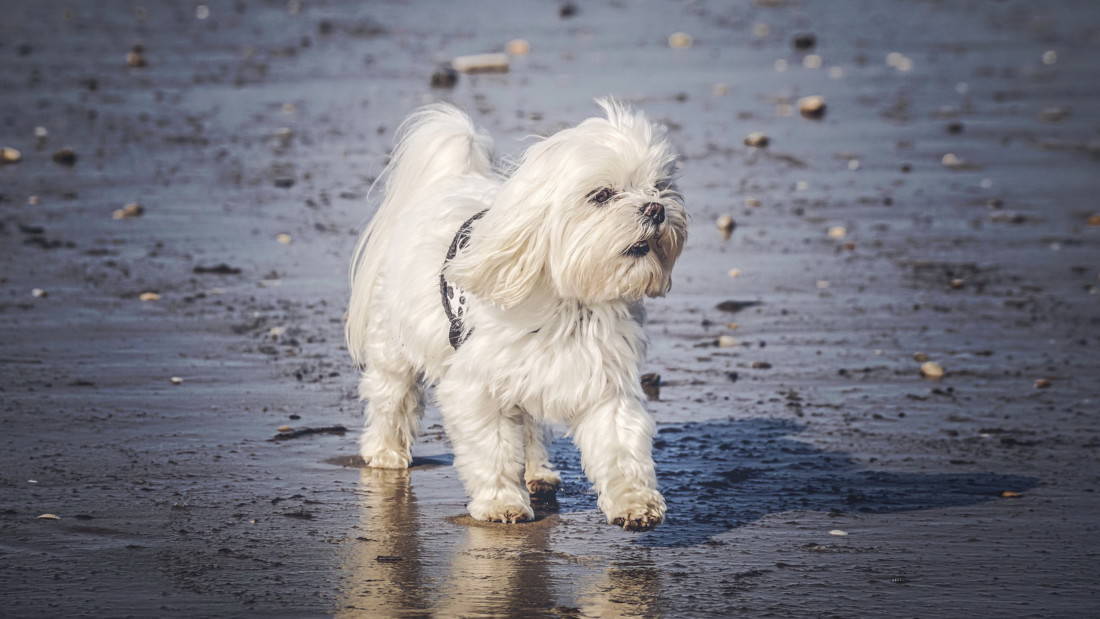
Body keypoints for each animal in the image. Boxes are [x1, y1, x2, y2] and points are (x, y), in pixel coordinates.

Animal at [345, 99, 686, 529]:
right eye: (602, 194)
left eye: (662, 187)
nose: (656, 208)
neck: (570, 302)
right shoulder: (477, 388)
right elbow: (493, 450)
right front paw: (500, 502)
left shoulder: (606, 380)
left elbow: (621, 447)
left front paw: (635, 503)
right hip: (394, 345)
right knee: (392, 397)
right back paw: (386, 452)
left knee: (530, 425)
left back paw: (539, 471)